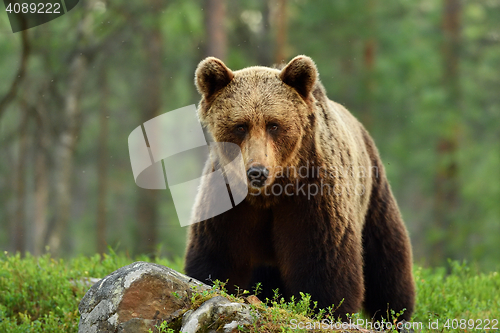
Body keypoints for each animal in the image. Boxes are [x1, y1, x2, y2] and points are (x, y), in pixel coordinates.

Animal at [184, 55, 414, 322]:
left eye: (273, 125)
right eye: (240, 126)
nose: (257, 171)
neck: (271, 193)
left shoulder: (313, 197)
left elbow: (324, 263)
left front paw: (327, 308)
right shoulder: (228, 202)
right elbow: (217, 256)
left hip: (373, 189)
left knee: (386, 256)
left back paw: (396, 314)